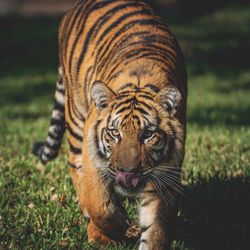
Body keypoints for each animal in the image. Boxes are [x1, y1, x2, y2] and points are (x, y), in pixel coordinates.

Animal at [32, 0, 187, 249]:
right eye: (114, 133)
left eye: (147, 134)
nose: (127, 172)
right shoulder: (93, 158)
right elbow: (100, 206)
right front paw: (114, 227)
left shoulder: (165, 172)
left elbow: (156, 226)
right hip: (75, 118)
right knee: (75, 165)